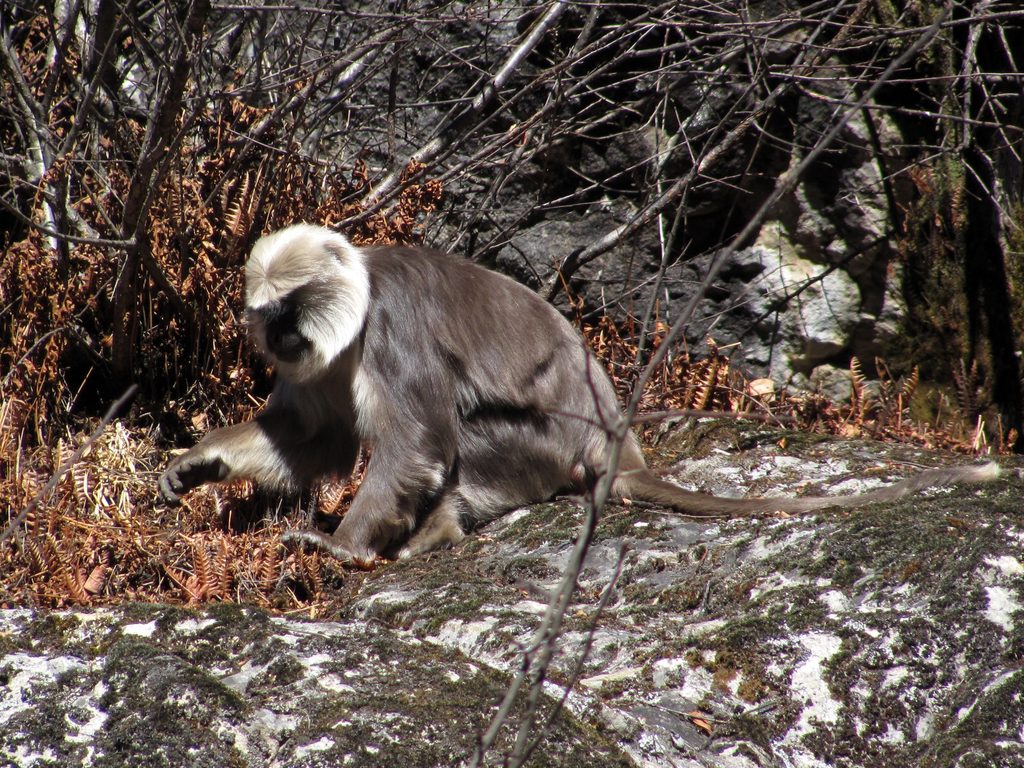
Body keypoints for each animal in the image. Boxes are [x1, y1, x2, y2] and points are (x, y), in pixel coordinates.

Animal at [159, 222, 999, 565]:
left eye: (294, 303)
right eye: (267, 313)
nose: (279, 335)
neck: (358, 304)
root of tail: (617, 446)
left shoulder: (393, 329)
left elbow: (419, 445)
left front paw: (341, 548)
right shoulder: (326, 361)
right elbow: (316, 441)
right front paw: (201, 464)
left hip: (547, 446)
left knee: (462, 434)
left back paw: (438, 531)